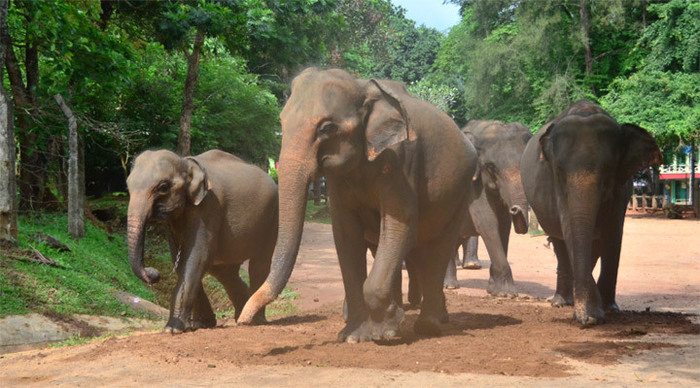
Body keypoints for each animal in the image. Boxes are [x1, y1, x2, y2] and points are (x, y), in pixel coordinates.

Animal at [126, 150, 278, 332]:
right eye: (127, 186)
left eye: (163, 187)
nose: (154, 274)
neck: (185, 162)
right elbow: (181, 260)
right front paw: (200, 325)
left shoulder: (208, 207)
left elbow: (196, 257)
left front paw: (172, 329)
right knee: (226, 272)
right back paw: (241, 315)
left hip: (271, 218)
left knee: (258, 264)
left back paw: (254, 320)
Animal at [235, 67, 476, 342]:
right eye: (281, 121)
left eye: (327, 128)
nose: (242, 321)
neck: (364, 87)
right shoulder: (340, 180)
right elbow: (345, 233)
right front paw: (354, 336)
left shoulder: (398, 163)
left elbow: (400, 223)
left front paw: (384, 333)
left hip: (461, 191)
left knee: (438, 248)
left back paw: (429, 326)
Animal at [520, 101, 660, 326]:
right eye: (559, 172)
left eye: (608, 171)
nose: (588, 320)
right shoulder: (555, 188)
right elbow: (568, 228)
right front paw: (590, 315)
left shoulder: (621, 189)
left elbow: (613, 234)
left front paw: (607, 310)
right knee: (559, 243)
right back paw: (561, 302)